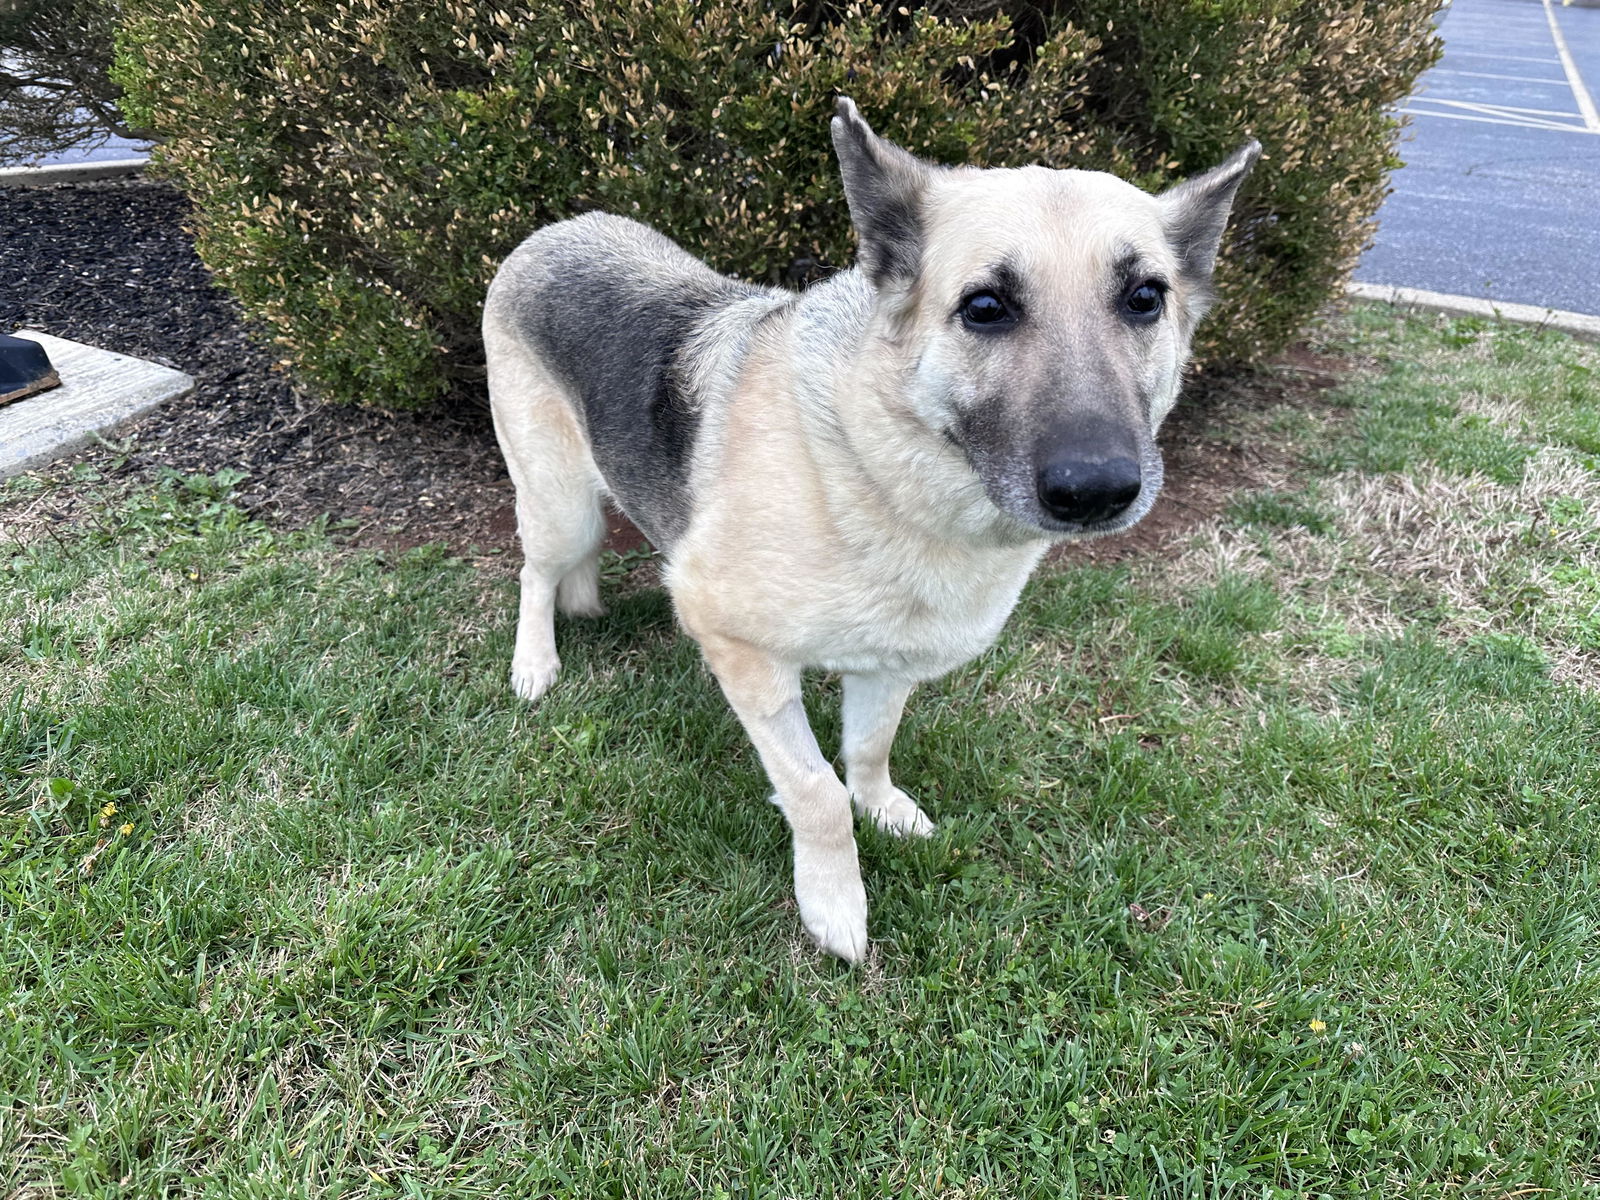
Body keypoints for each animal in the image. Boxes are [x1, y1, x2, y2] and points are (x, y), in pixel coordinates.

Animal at [480, 101, 1254, 966]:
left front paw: (882, 807)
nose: (1098, 489)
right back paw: (535, 661)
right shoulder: (739, 649)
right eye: (985, 307)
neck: (871, 465)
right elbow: (815, 789)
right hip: (560, 504)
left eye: (1145, 298)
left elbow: (868, 749)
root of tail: (553, 231)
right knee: (537, 573)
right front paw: (834, 900)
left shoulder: (889, 666)